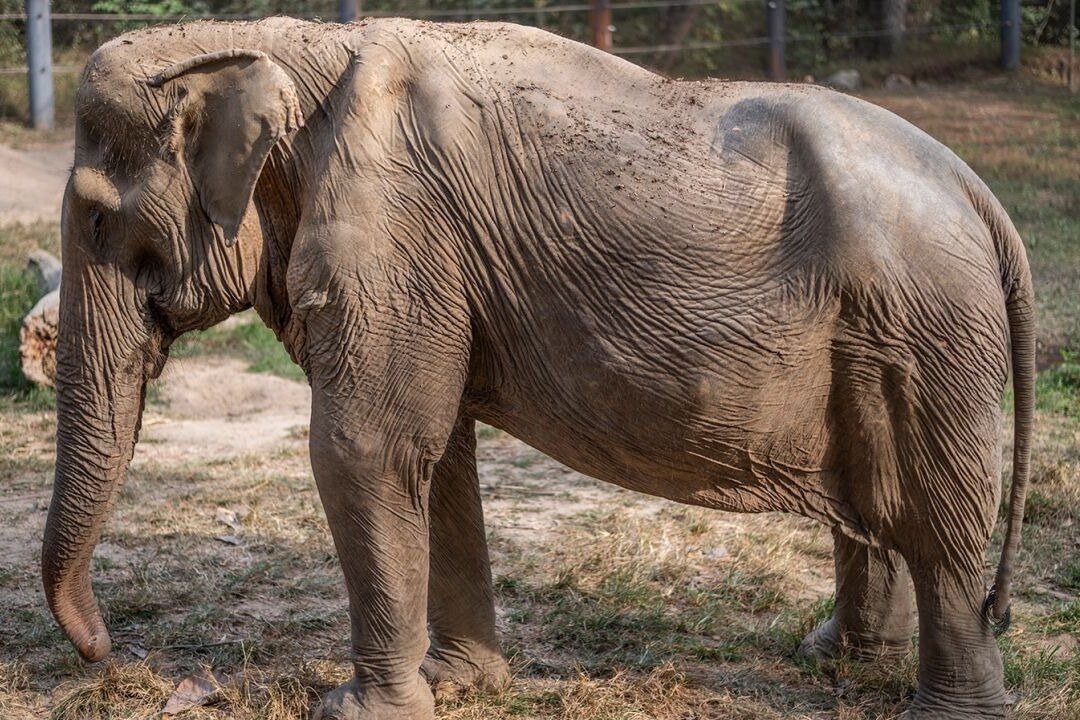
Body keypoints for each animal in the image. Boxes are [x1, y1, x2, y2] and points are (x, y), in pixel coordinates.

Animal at [46, 16, 1032, 720]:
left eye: (96, 221)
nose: (109, 652)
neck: (283, 45)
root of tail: (981, 195)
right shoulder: (430, 264)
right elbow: (436, 454)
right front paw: (462, 686)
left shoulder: (395, 233)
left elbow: (365, 449)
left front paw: (357, 710)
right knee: (882, 502)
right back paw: (833, 660)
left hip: (928, 329)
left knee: (936, 518)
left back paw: (944, 711)